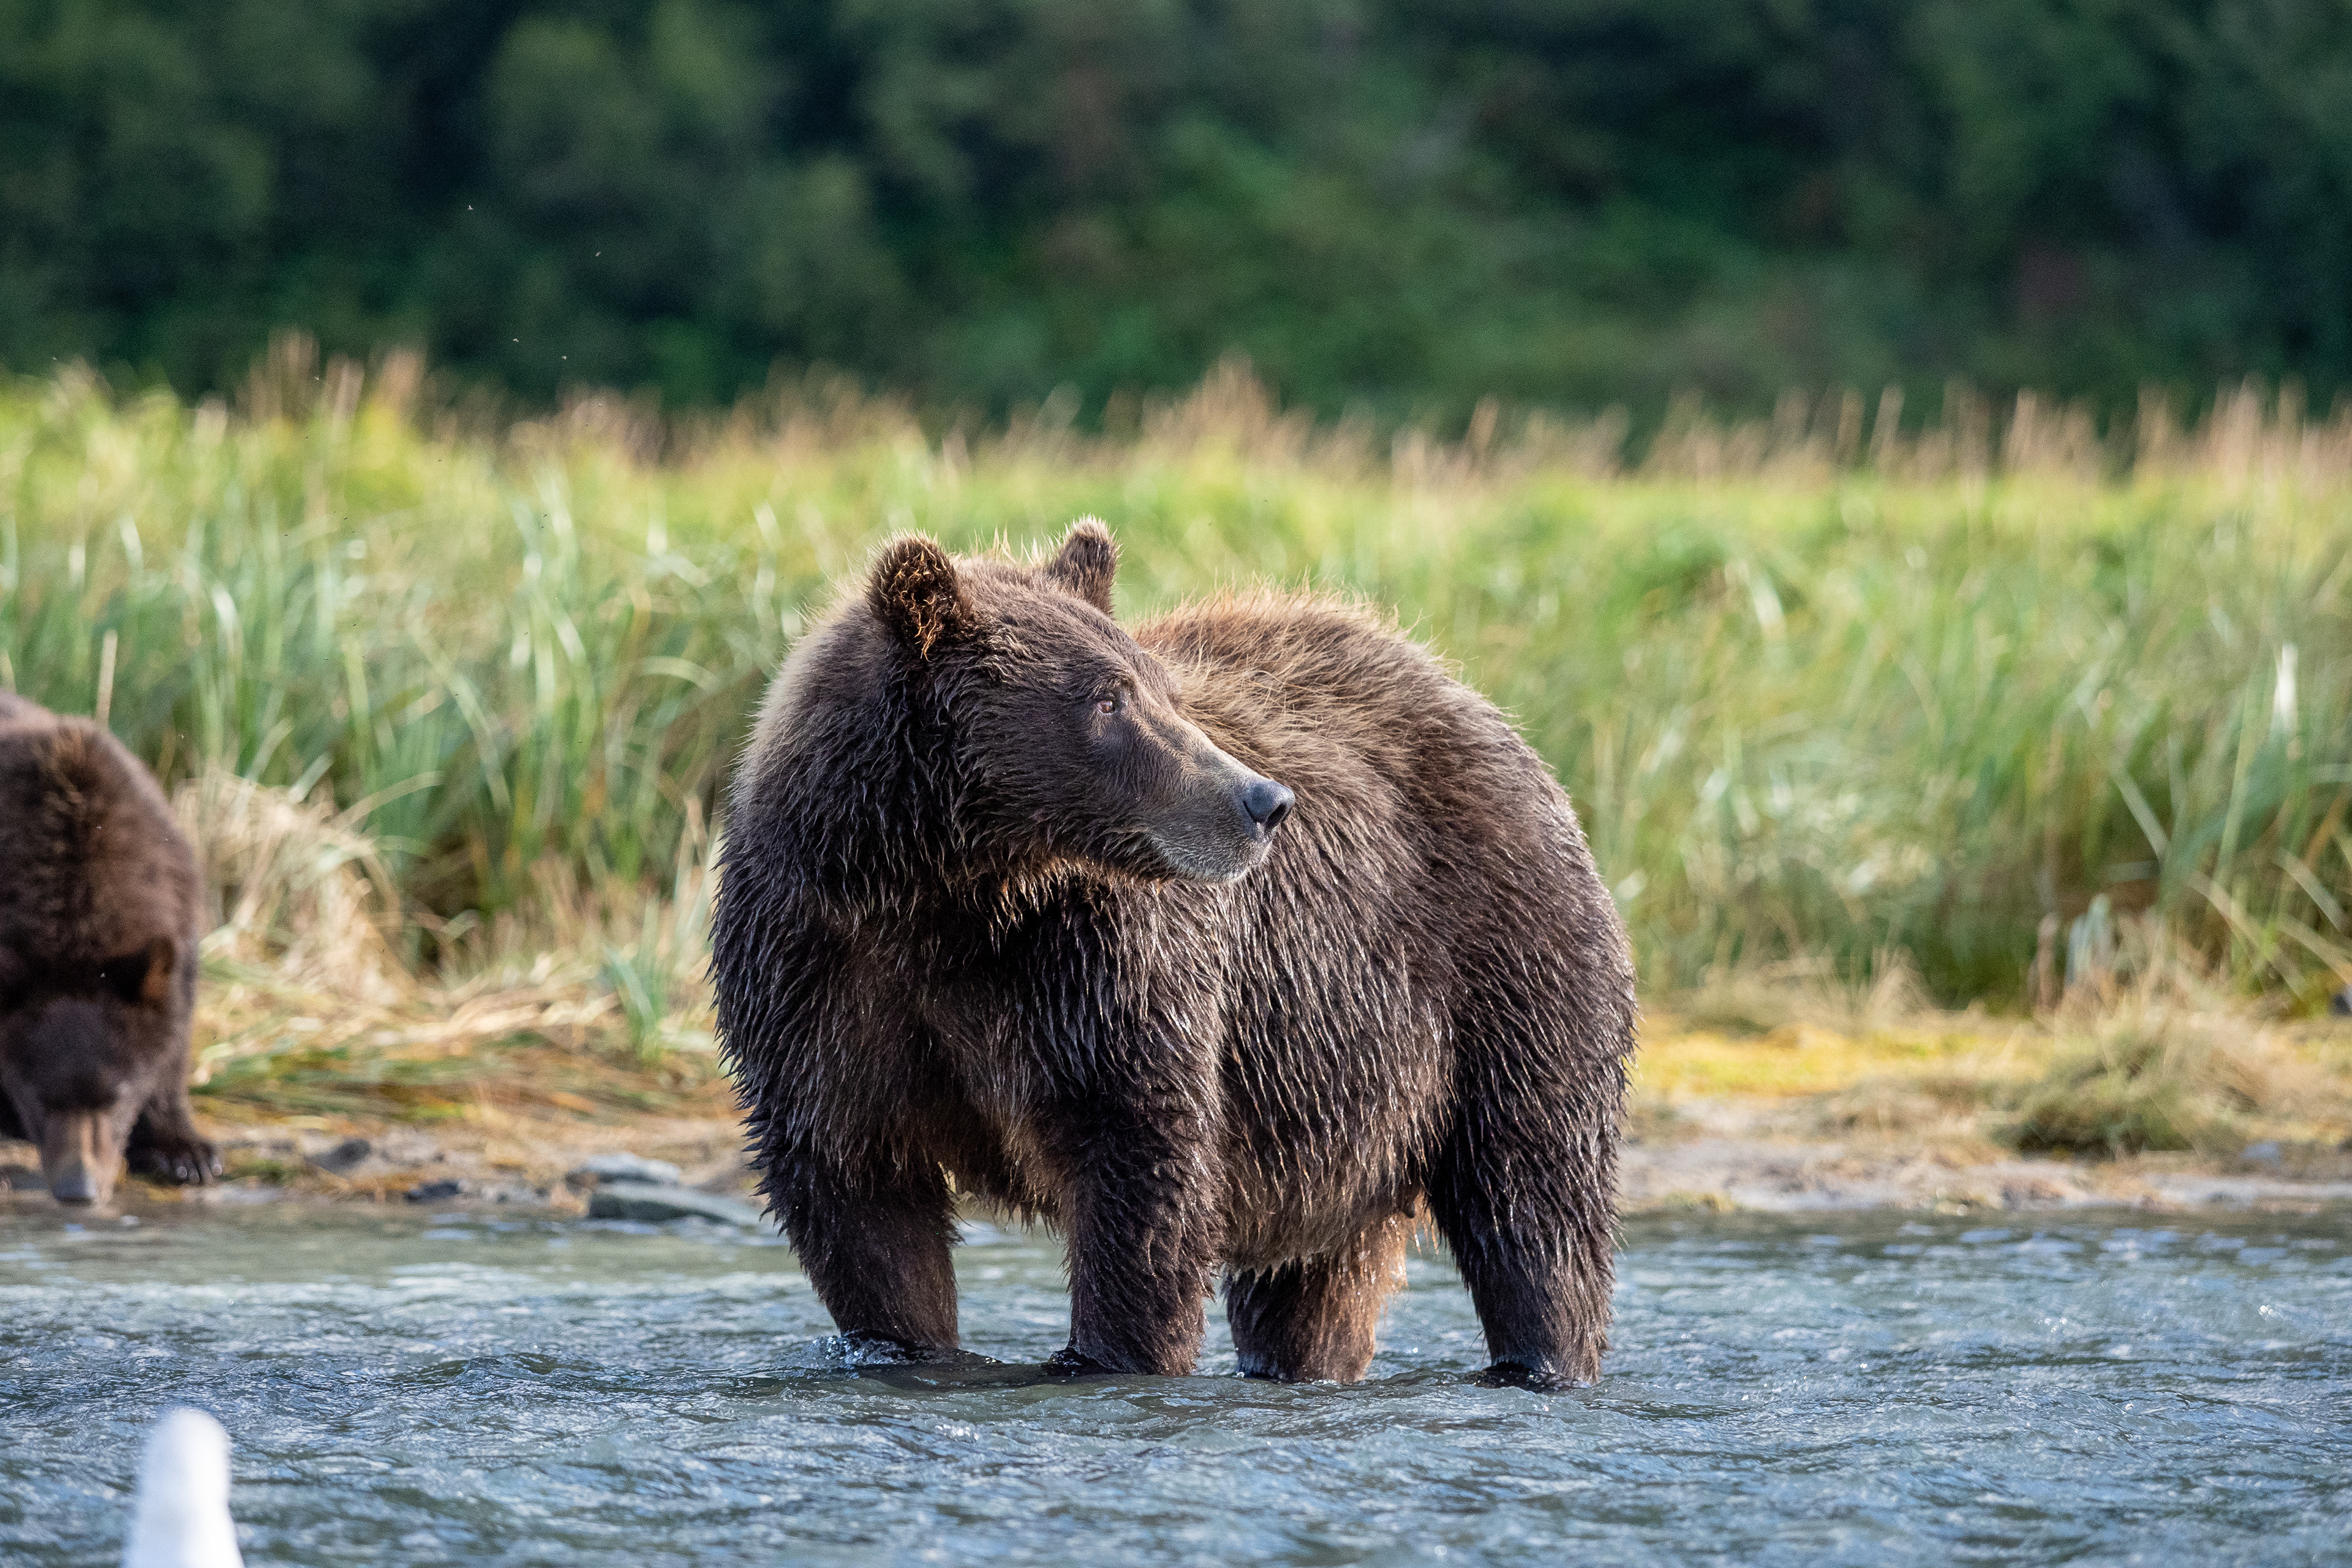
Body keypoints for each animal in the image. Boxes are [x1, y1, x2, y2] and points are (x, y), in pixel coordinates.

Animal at [0, 691, 218, 1205]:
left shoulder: (174, 905)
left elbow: (170, 1037)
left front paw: (184, 1153)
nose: (78, 1190)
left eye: (116, 1096)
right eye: (42, 1098)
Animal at [712, 521, 1637, 1386]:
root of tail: (1468, 696)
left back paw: (1542, 1356)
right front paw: (905, 1342)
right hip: (1339, 1105)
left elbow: (1142, 1161)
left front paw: (1109, 1352)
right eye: (1106, 700)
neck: (948, 895)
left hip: (1498, 964)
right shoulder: (817, 970)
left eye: (1161, 688)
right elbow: (858, 1194)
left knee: (1533, 1195)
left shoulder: (1092, 974)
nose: (1264, 799)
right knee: (1315, 1277)